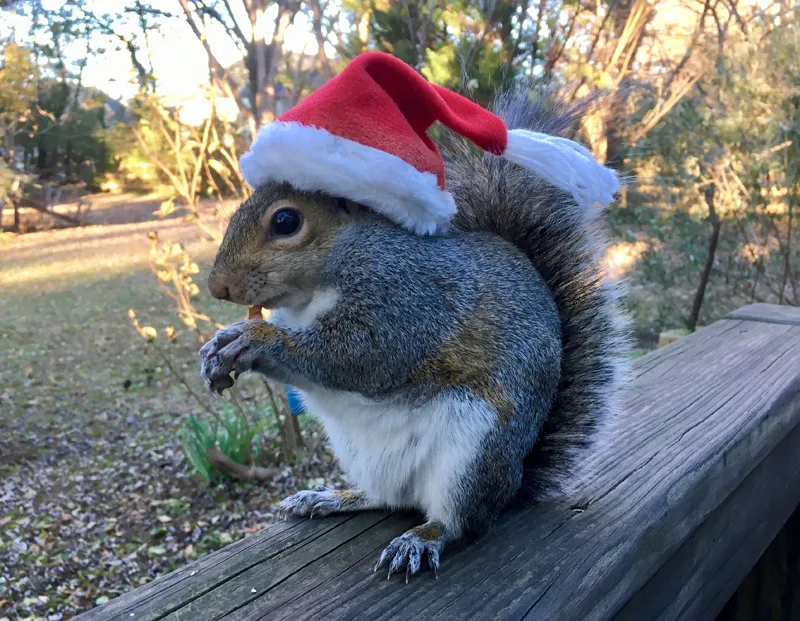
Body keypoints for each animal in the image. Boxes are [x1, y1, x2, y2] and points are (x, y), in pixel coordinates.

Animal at [197, 50, 628, 580]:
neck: (316, 288)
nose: (218, 287)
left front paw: (256, 341)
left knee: (459, 520)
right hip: (362, 454)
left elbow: (360, 356)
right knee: (386, 498)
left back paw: (421, 539)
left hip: (473, 450)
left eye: (285, 220)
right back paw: (332, 497)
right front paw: (220, 346)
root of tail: (513, 481)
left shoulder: (407, 300)